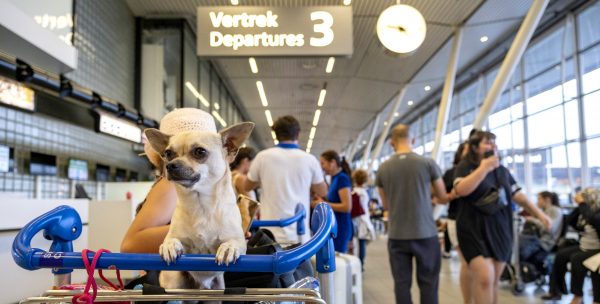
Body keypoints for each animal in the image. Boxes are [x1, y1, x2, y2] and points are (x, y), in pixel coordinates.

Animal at [148, 121, 255, 292]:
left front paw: (228, 248)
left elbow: (234, 242)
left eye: (199, 152)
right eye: (168, 153)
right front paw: (169, 246)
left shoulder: (239, 241)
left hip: (219, 286)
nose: (170, 165)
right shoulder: (178, 238)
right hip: (175, 281)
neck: (201, 206)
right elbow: (171, 239)